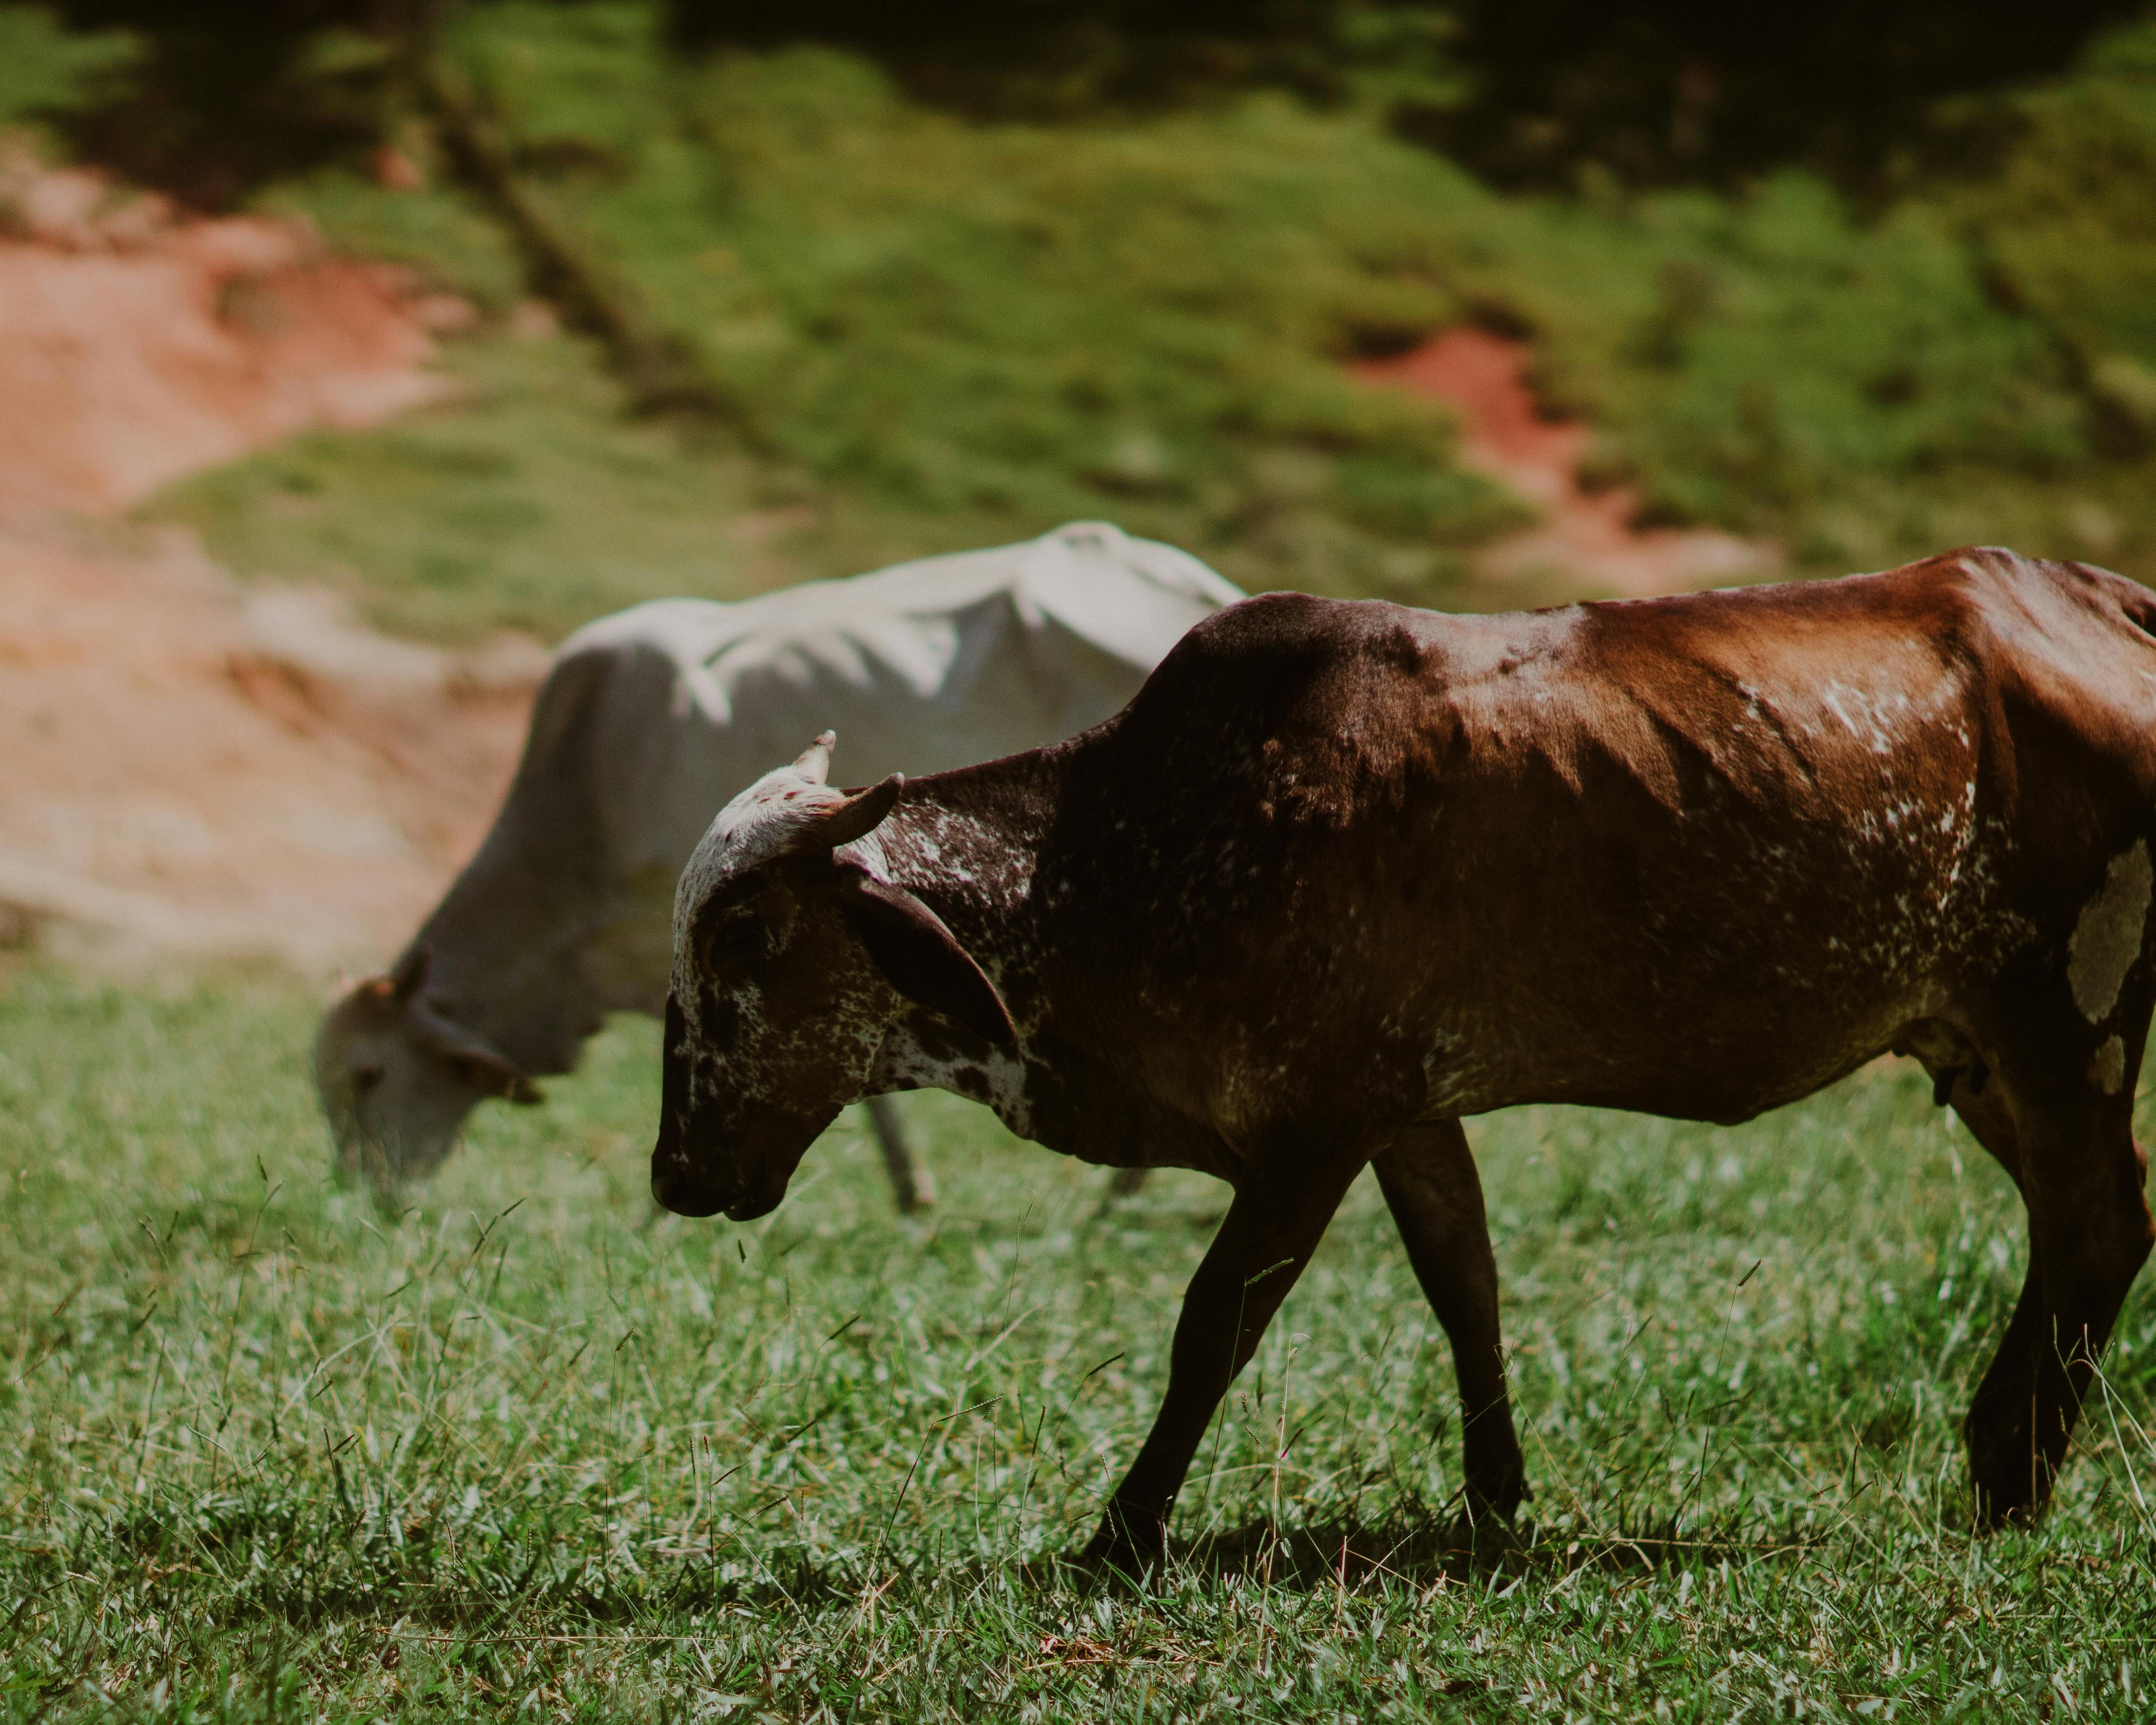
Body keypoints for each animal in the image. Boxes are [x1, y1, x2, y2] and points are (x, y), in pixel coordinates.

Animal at [652, 546, 2156, 1570]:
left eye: (745, 932)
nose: (671, 1171)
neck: (1123, 847)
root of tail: (2103, 599)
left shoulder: (1309, 1132)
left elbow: (1215, 1323)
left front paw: (1123, 1532)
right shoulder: (1406, 1113)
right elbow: (1463, 1287)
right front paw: (1496, 1496)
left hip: (2063, 1018)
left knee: (2098, 1219)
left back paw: (2012, 1477)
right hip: (1973, 1045)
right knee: (2080, 1223)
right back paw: (2000, 1455)